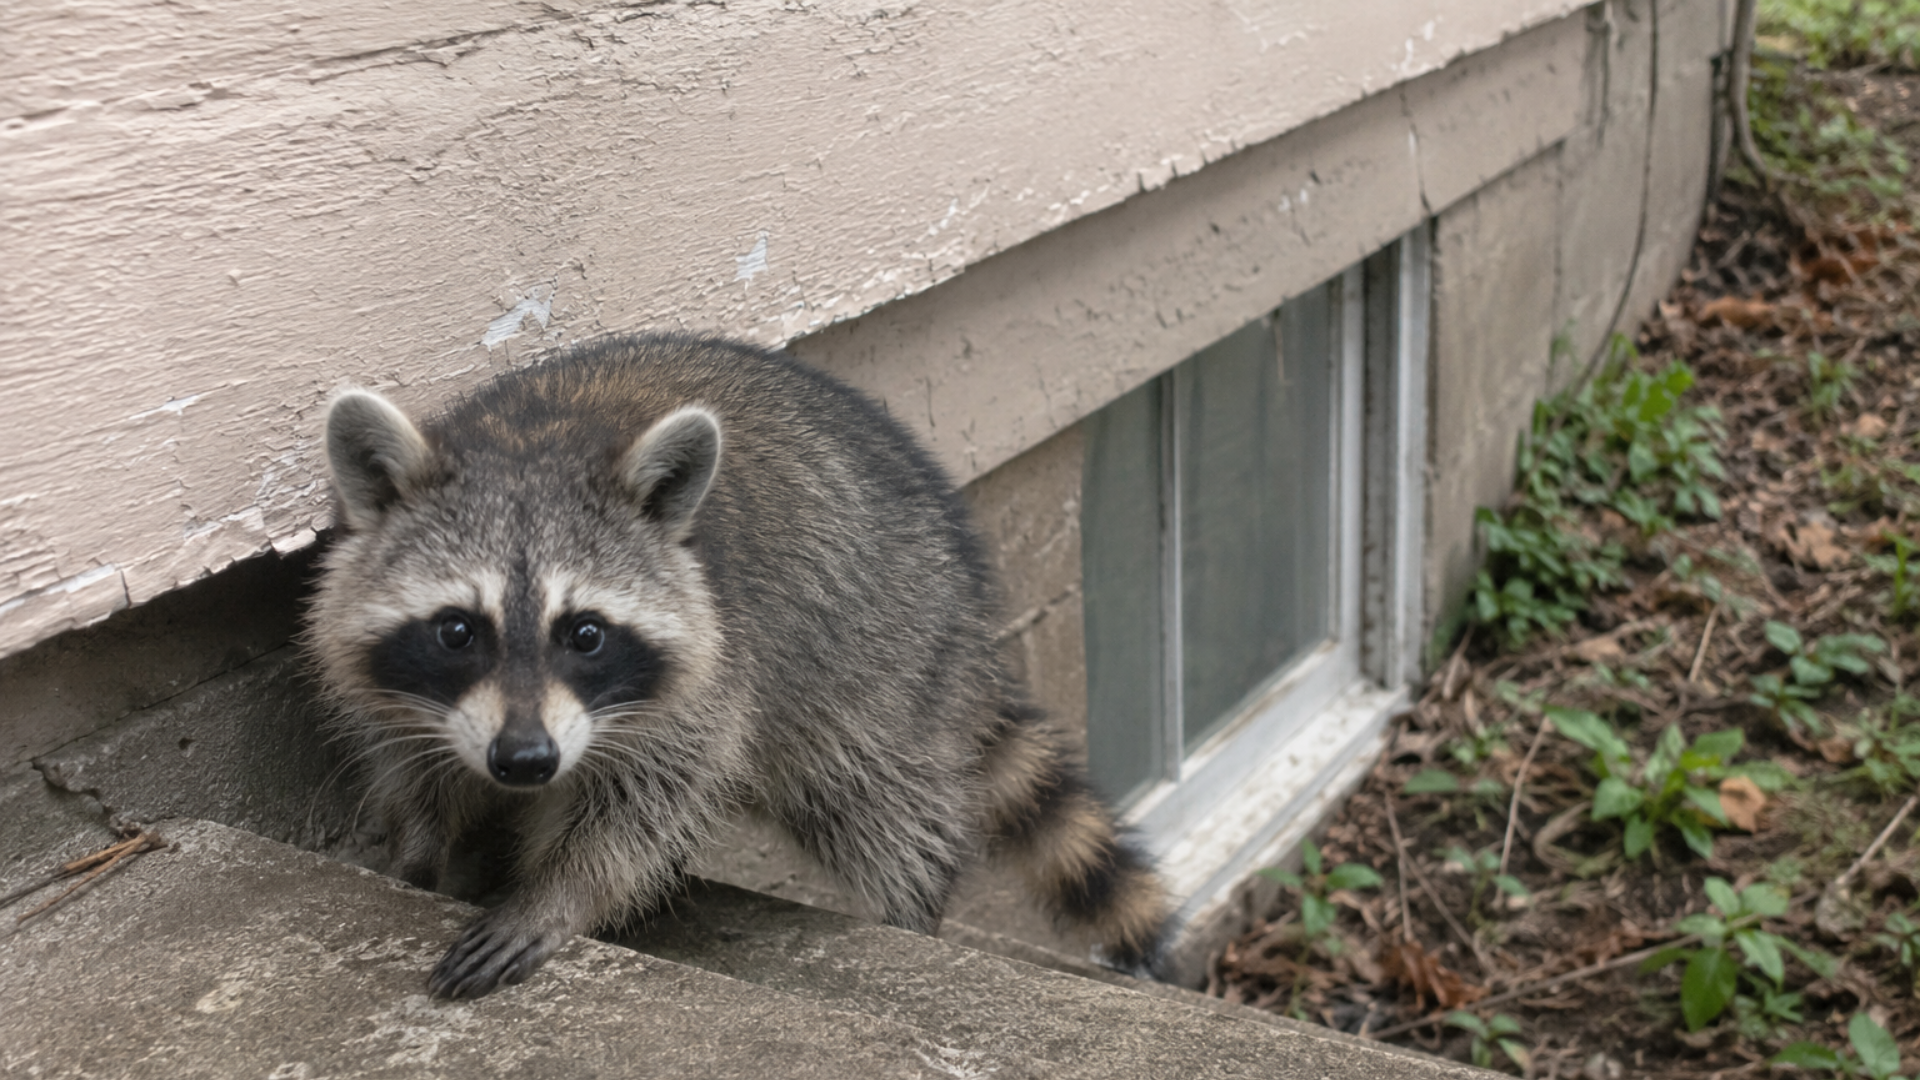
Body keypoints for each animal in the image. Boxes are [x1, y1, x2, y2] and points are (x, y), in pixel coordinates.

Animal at [307, 333, 1168, 998]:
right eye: (457, 630)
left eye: (585, 635)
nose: (525, 761)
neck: (531, 440)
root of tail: (971, 618)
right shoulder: (407, 698)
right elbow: (415, 770)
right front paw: (418, 848)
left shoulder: (709, 681)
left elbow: (641, 810)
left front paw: (559, 895)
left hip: (885, 668)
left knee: (880, 811)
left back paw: (909, 918)